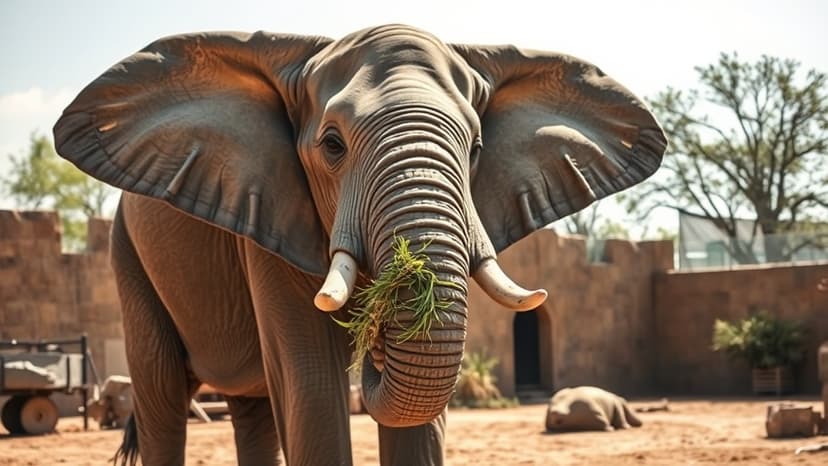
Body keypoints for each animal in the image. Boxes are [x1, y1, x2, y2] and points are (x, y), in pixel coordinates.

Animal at [53, 24, 665, 465]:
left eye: (476, 148)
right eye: (332, 145)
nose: (375, 342)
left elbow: (418, 420)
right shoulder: (271, 217)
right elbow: (313, 386)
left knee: (252, 409)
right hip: (126, 253)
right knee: (161, 398)